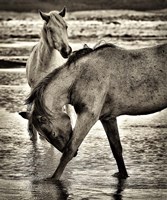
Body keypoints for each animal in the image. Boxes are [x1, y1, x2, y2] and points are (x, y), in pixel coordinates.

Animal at [23, 42, 167, 180]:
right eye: (41, 134)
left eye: (52, 133)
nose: (76, 155)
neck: (80, 77)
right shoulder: (108, 118)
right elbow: (116, 149)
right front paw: (123, 175)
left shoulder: (88, 116)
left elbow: (69, 149)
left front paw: (54, 178)